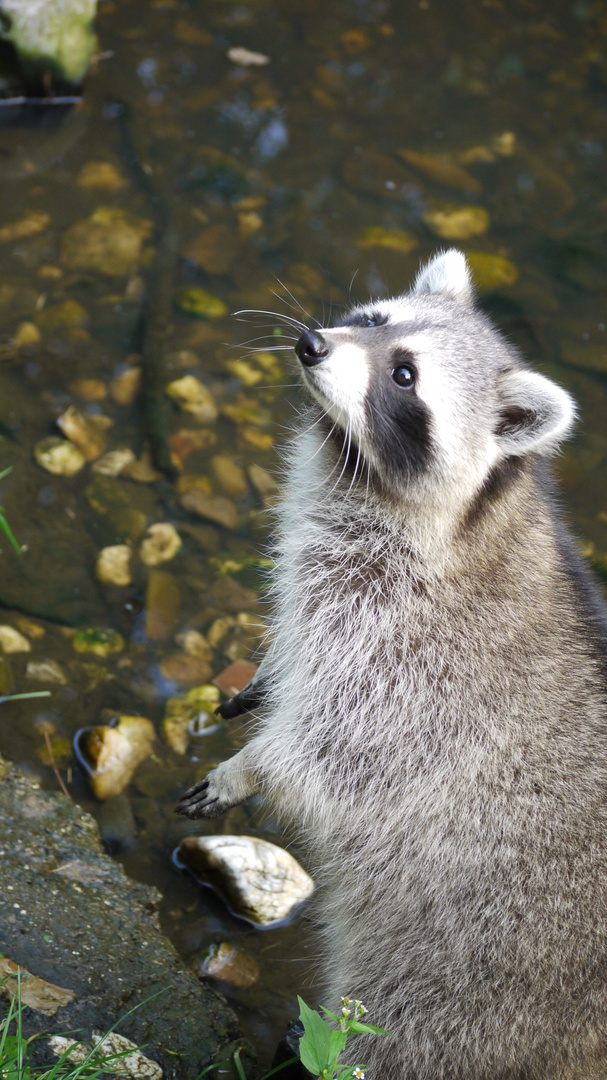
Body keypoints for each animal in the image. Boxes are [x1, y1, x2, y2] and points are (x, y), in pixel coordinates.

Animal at [177, 250, 604, 1080]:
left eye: (404, 376)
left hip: (472, 980)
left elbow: (336, 750)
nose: (311, 341)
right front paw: (266, 682)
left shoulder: (421, 670)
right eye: (372, 319)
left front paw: (249, 768)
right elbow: (297, 659)